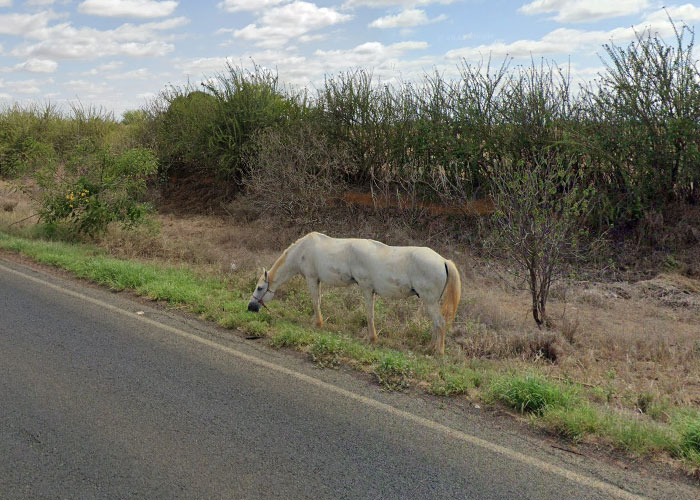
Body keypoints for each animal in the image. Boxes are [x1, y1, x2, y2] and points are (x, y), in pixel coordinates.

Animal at [247, 232, 461, 355]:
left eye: (260, 288)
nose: (250, 307)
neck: (304, 250)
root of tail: (443, 260)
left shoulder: (314, 279)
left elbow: (318, 302)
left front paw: (318, 324)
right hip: (429, 301)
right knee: (435, 325)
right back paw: (430, 348)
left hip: (430, 301)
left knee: (440, 323)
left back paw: (438, 352)